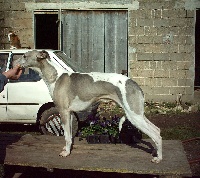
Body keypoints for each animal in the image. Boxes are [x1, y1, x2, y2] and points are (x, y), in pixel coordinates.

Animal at [12, 49, 162, 163]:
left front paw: (66, 153)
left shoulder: (63, 112)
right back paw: (155, 152)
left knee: (156, 134)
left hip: (134, 115)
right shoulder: (70, 113)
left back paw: (158, 158)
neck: (55, 76)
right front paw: (67, 149)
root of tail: (134, 83)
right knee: (157, 129)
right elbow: (69, 135)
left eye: (24, 56)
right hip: (137, 113)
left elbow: (66, 136)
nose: (13, 63)